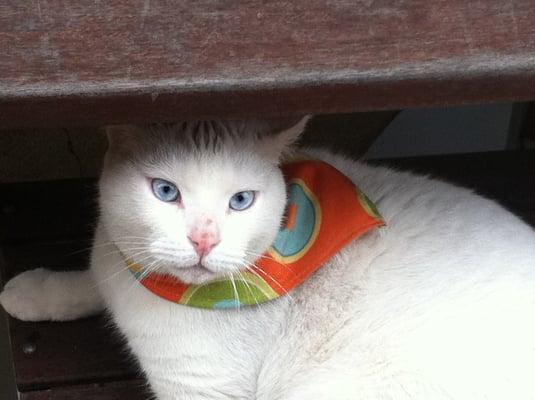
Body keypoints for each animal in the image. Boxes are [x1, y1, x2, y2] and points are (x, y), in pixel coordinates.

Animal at [1, 117, 535, 398]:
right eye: (166, 191)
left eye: (241, 201)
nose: (203, 240)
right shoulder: (116, 262)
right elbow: (87, 280)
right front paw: (32, 292)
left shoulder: (203, 388)